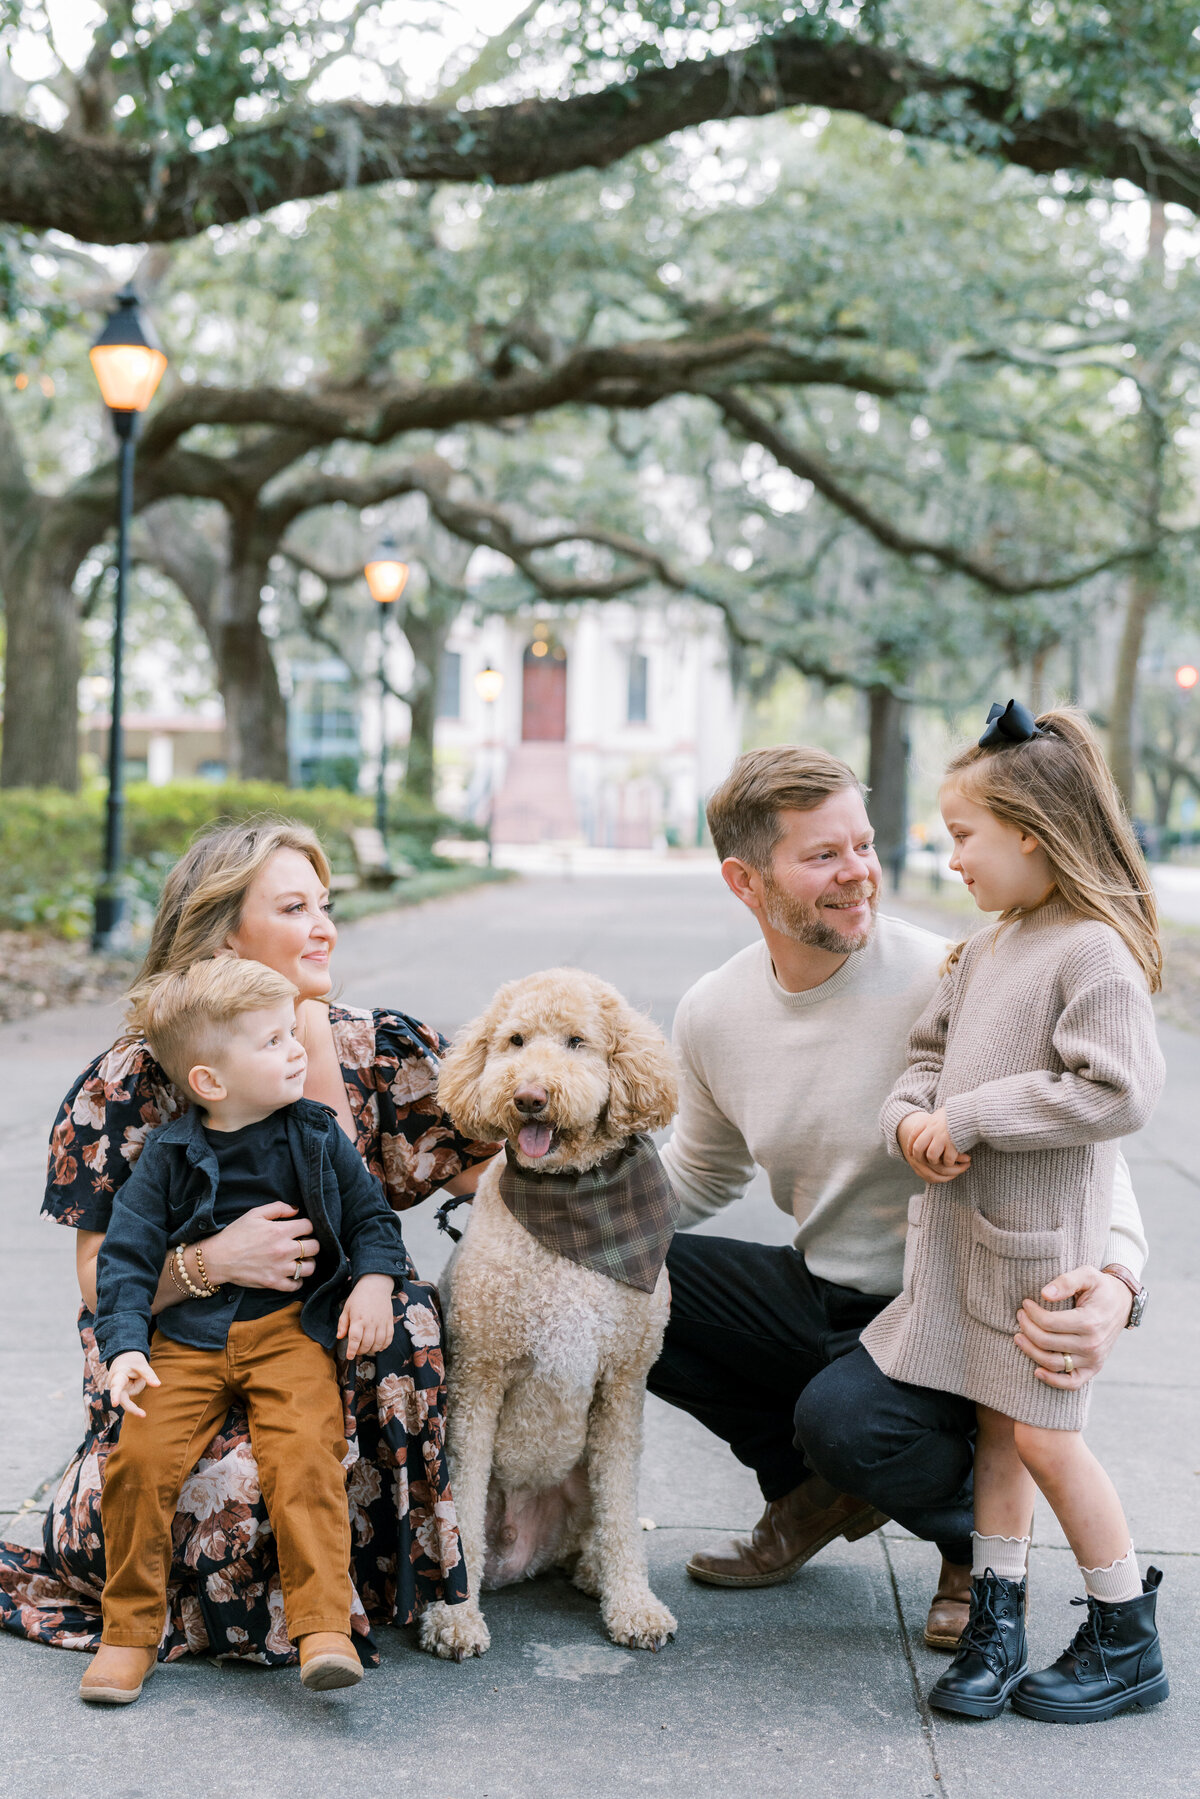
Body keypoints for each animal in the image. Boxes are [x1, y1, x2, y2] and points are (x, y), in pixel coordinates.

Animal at [420, 971, 683, 1655]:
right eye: (514, 1041)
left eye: (577, 1042)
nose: (531, 1097)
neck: (571, 1202)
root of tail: (522, 1554)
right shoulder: (479, 1375)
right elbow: (460, 1520)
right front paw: (455, 1619)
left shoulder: (623, 1383)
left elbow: (621, 1513)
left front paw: (633, 1605)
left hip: (583, 1475)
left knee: (598, 1524)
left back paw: (594, 1571)